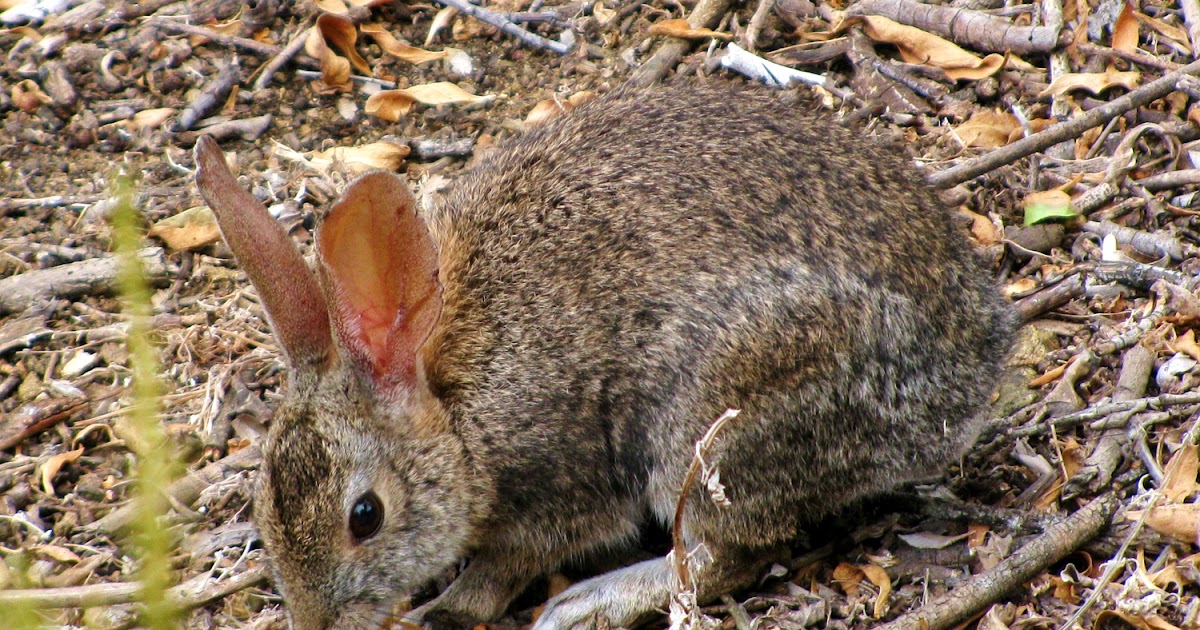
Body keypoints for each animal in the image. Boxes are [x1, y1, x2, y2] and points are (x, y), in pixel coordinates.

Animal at [193, 79, 1015, 630]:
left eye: (365, 517)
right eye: (261, 508)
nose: (315, 622)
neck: (452, 405)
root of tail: (972, 359)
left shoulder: (559, 479)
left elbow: (510, 560)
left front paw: (451, 607)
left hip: (721, 417)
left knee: (726, 553)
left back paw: (592, 602)